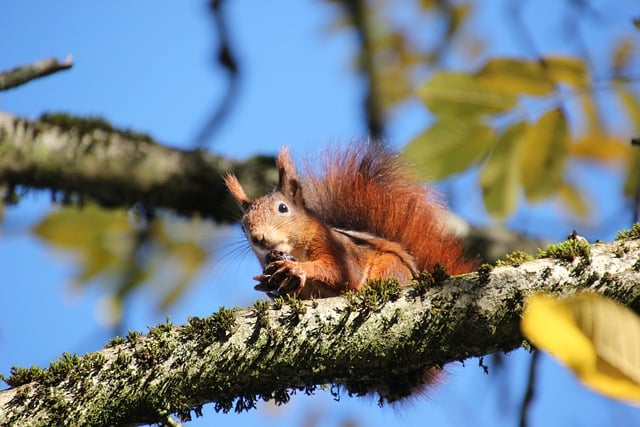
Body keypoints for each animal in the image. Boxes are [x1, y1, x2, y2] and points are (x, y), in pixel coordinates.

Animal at [222, 142, 478, 300]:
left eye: (283, 208)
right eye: (243, 226)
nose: (258, 238)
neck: (295, 249)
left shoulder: (339, 249)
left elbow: (341, 273)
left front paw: (298, 268)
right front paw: (267, 284)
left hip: (391, 267)